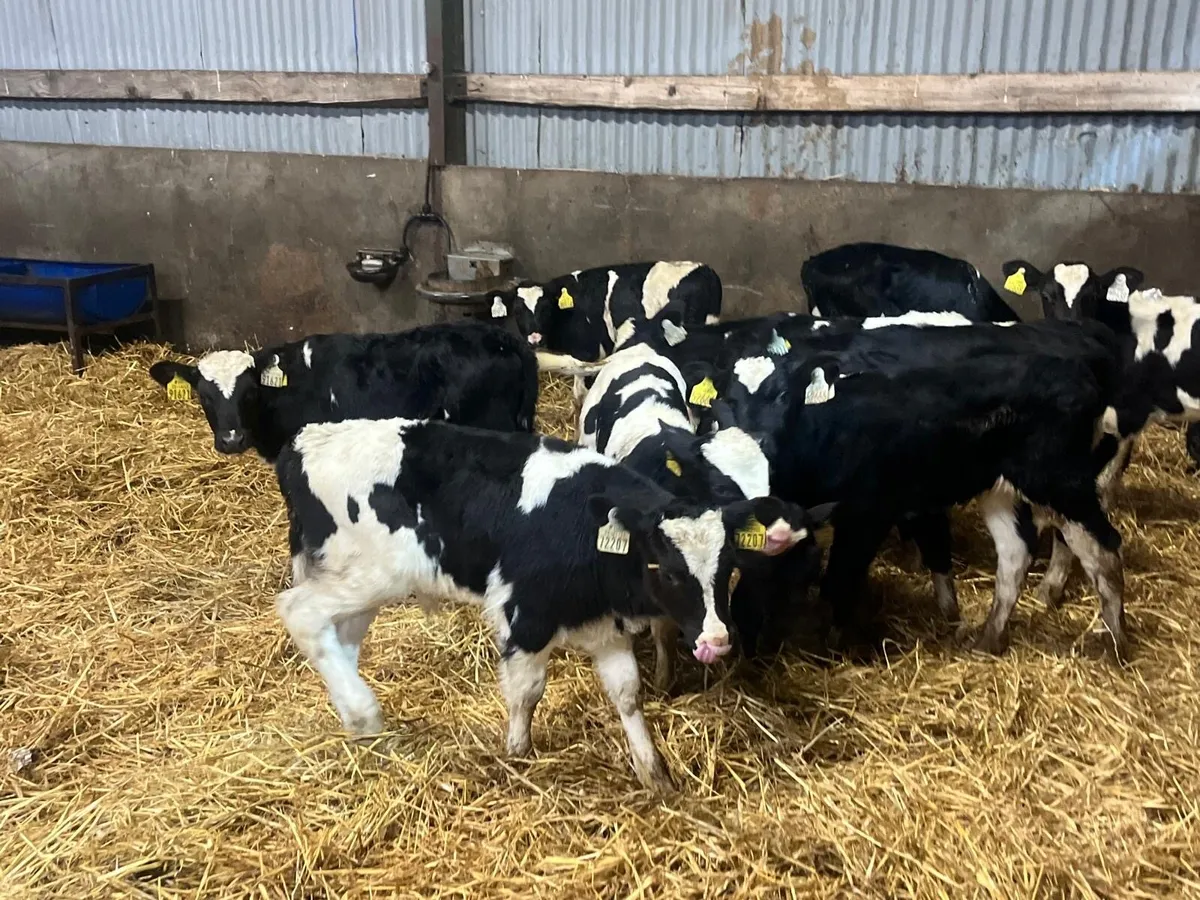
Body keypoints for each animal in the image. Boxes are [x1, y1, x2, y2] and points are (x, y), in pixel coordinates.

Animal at [273, 416, 821, 790]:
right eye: (667, 571)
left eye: (726, 567)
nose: (715, 640)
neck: (586, 527)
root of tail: (304, 443)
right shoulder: (525, 615)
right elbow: (526, 692)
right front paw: (516, 755)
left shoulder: (604, 626)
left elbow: (627, 694)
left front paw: (653, 772)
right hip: (372, 575)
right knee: (302, 613)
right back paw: (365, 715)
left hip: (357, 582)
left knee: (339, 638)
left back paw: (358, 724)